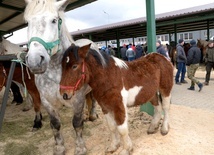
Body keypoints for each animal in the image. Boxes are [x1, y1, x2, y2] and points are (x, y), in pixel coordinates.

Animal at [23, 0, 99, 154]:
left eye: (54, 20)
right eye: (27, 22)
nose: (34, 61)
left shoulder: (77, 100)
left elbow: (77, 123)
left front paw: (80, 147)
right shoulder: (47, 102)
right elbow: (55, 125)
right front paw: (59, 147)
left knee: (93, 100)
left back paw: (93, 115)